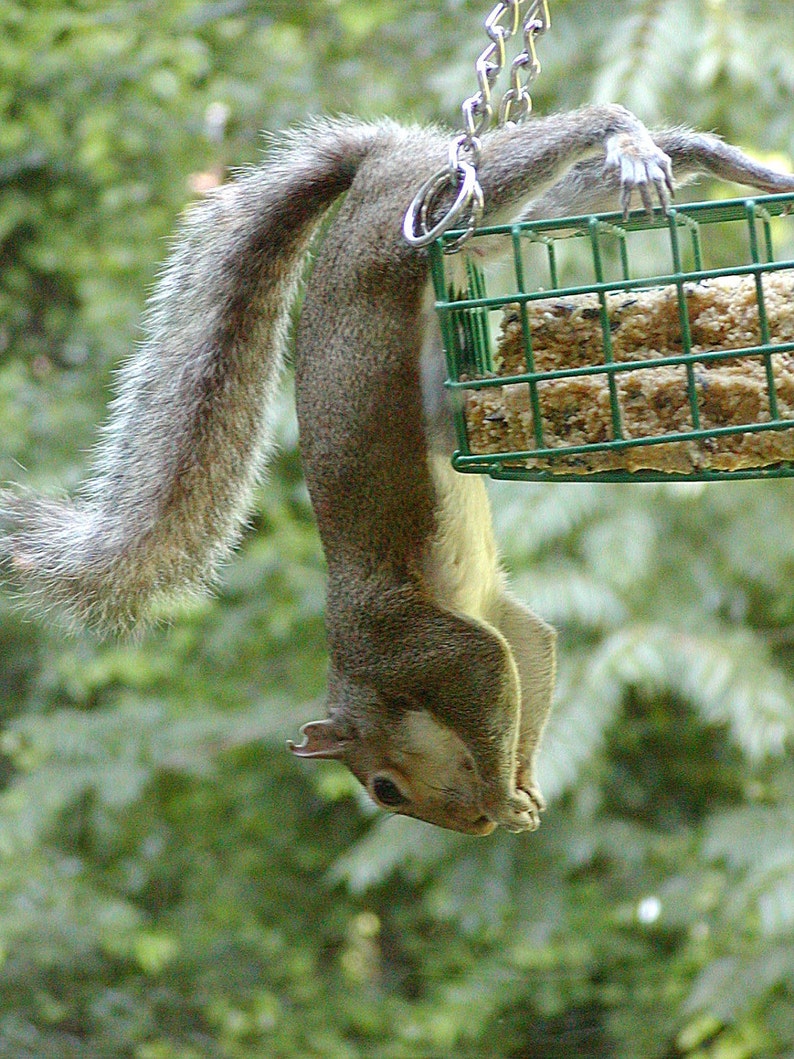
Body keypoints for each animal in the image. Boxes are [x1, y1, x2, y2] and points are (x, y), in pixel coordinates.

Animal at [1, 107, 794, 834]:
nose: (473, 825)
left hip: (415, 220)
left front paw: (502, 794)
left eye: (386, 789)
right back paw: (714, 159)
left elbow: (483, 669)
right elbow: (532, 653)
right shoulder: (498, 616)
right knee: (559, 197)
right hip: (472, 227)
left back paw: (632, 139)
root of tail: (370, 171)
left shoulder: (415, 646)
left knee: (551, 141)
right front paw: (525, 790)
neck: (365, 678)